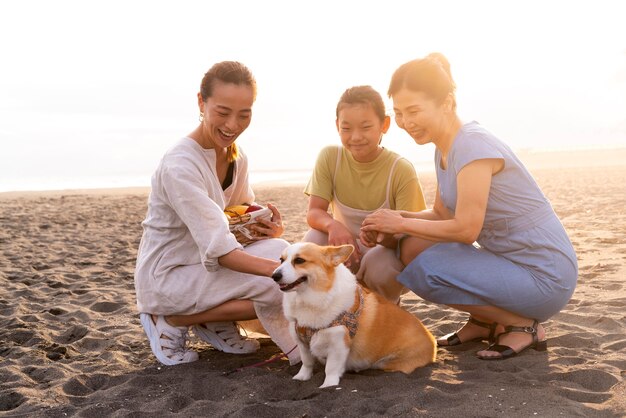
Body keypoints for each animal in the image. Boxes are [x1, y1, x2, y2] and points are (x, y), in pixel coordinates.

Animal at [268, 242, 434, 388]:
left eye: (299, 260)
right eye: (281, 260)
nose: (274, 275)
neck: (308, 299)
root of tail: (433, 343)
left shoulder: (338, 344)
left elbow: (331, 369)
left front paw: (328, 386)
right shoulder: (301, 342)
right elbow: (307, 363)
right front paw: (301, 378)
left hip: (386, 363)